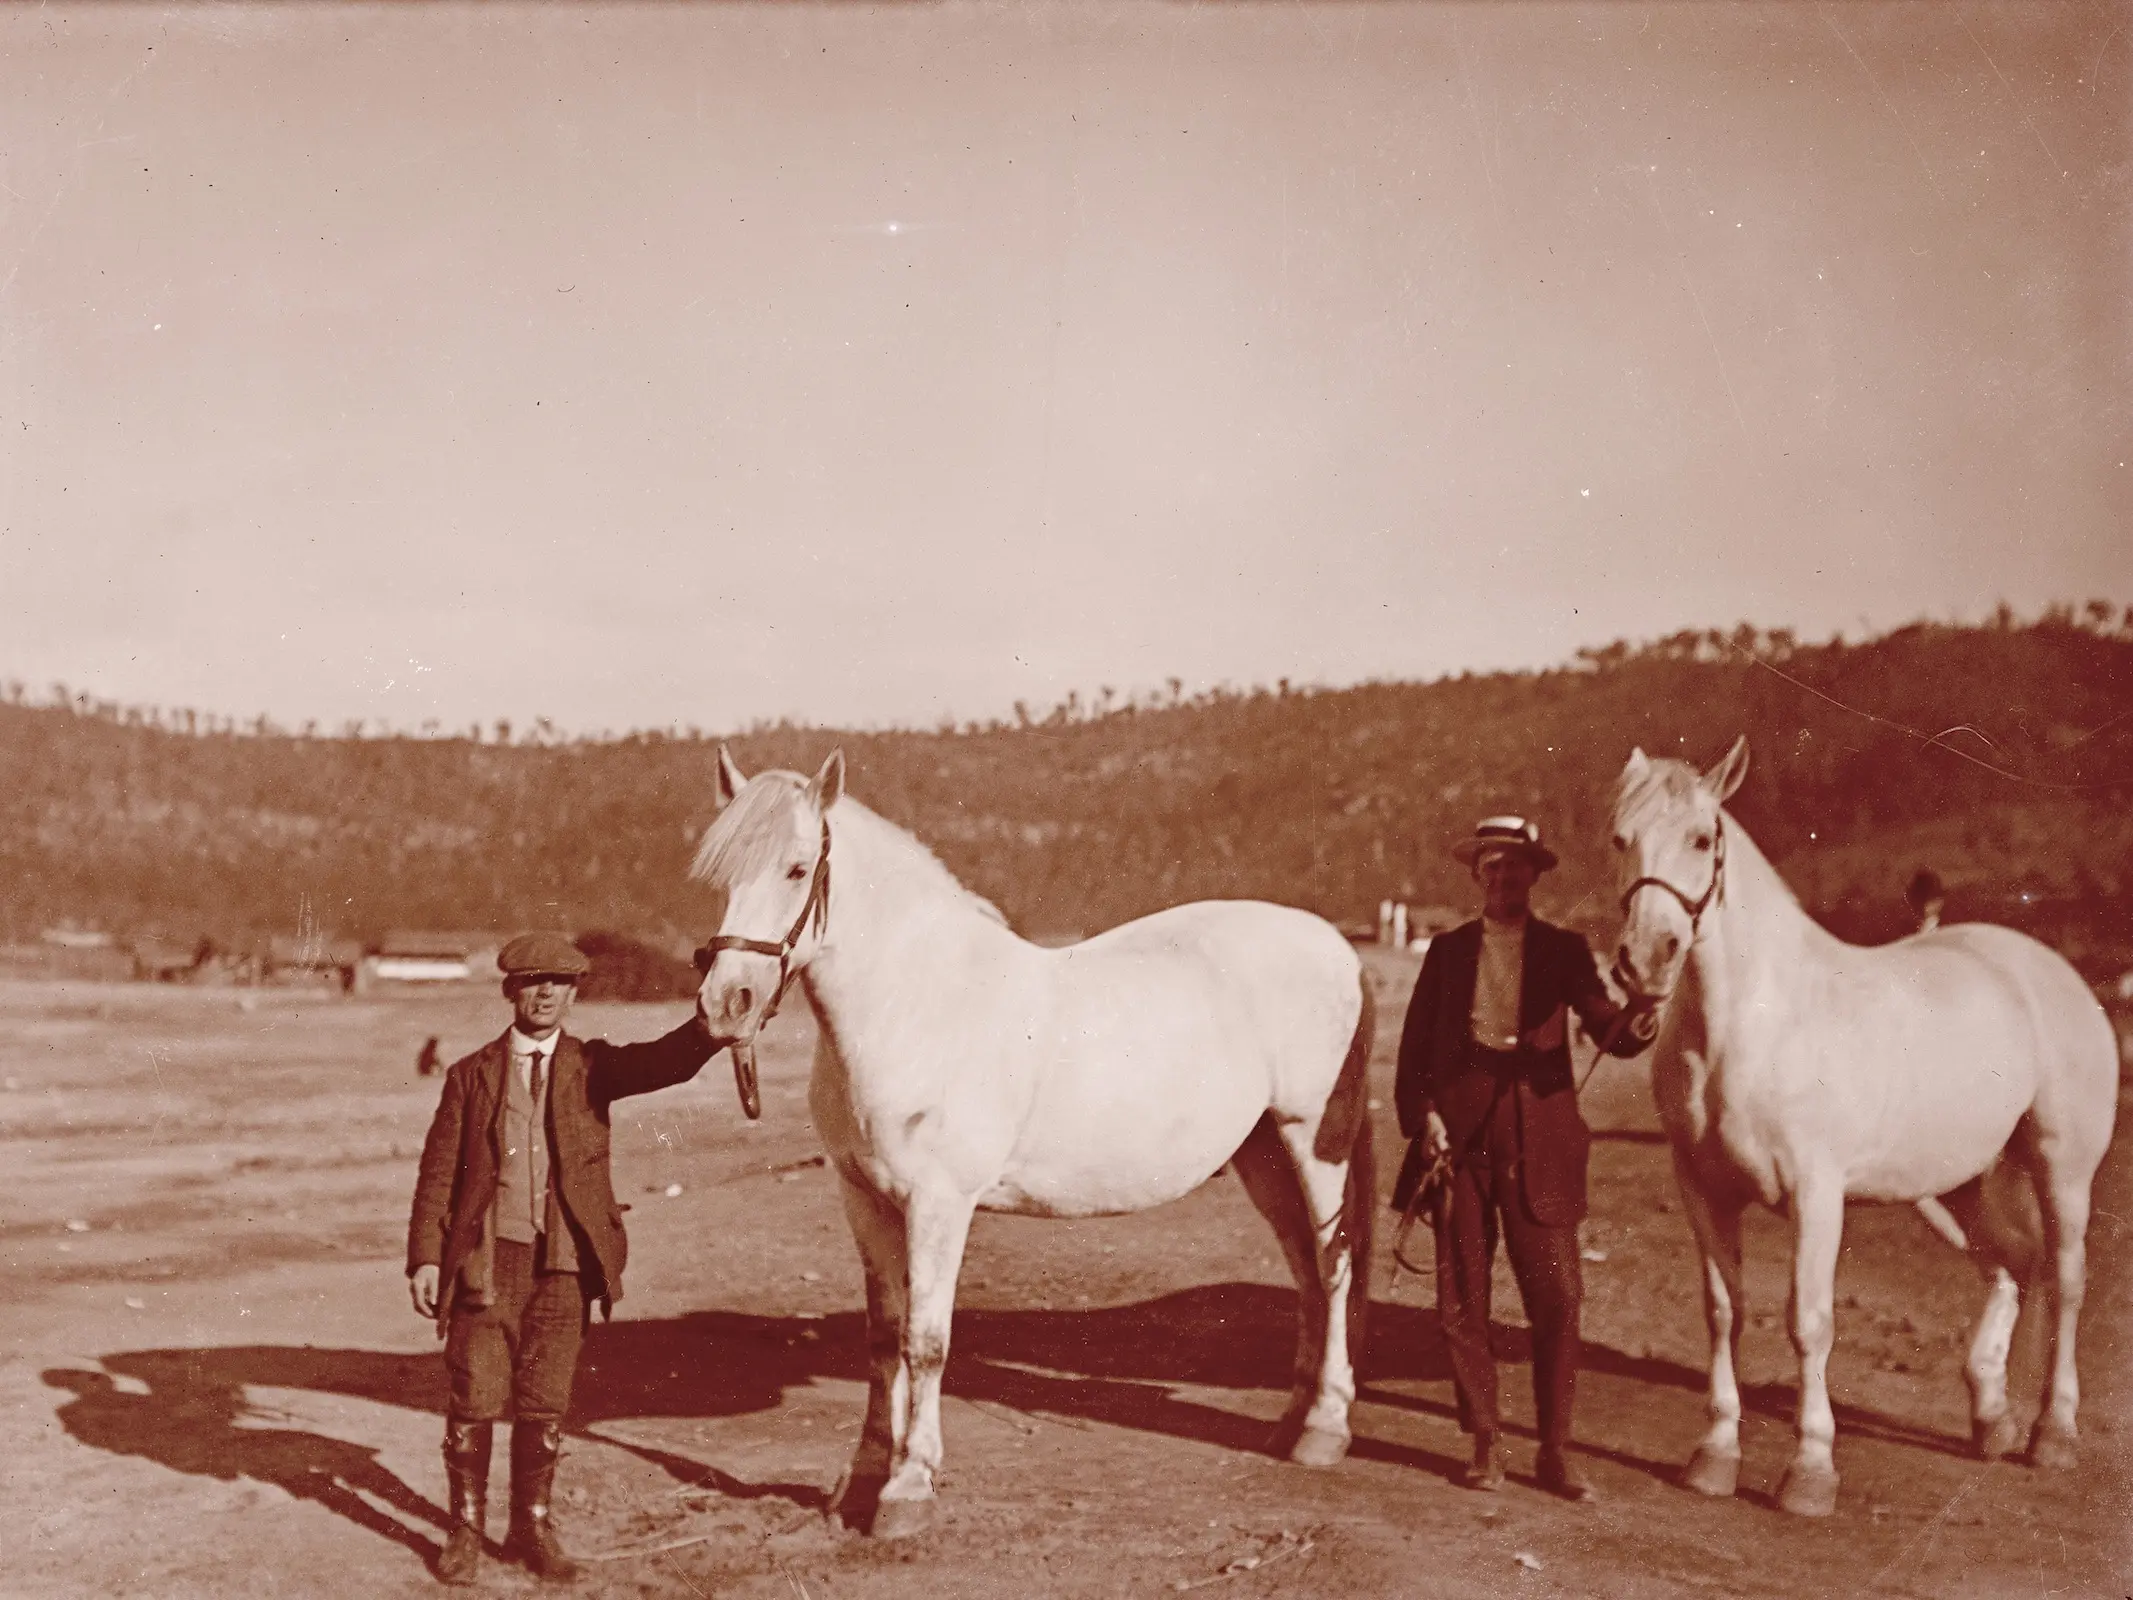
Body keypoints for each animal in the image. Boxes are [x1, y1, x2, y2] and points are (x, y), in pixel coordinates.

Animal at [691, 750, 1373, 1544]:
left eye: (798, 869)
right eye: (721, 876)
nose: (725, 1004)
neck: (917, 1006)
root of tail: (1337, 947)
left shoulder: (938, 1205)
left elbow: (924, 1341)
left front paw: (907, 1488)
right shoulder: (861, 1197)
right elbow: (881, 1338)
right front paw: (860, 1479)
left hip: (1313, 1142)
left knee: (1333, 1269)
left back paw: (1324, 1427)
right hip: (1262, 1153)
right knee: (1305, 1272)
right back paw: (1293, 1420)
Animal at [1612, 738, 2115, 1518]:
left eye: (1700, 839)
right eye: (1620, 839)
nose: (1644, 959)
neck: (1754, 1024)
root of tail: (2047, 968)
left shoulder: (1817, 1197)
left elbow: (1808, 1321)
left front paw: (1810, 1473)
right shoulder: (1702, 1190)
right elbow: (1723, 1312)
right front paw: (1714, 1456)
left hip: (2062, 1170)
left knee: (2064, 1279)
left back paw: (2052, 1434)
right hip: (1956, 1186)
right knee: (2012, 1263)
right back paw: (1990, 1417)